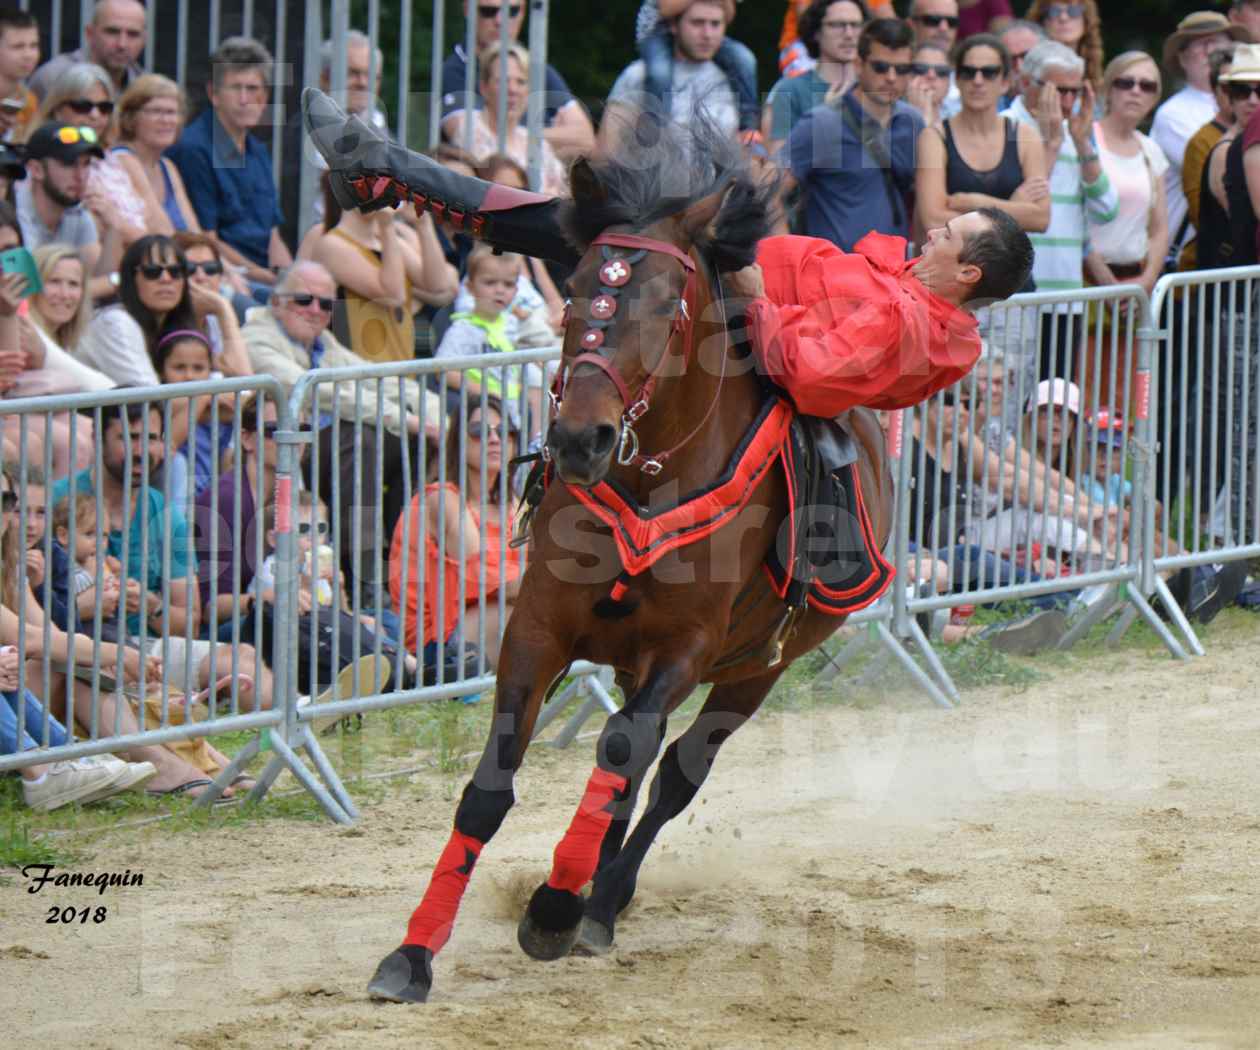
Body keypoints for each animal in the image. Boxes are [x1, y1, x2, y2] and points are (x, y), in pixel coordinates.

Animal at [365, 112, 897, 998]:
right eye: (577, 288)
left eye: (666, 305)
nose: (581, 438)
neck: (650, 479)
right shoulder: (538, 629)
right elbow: (490, 789)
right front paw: (412, 953)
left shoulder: (686, 647)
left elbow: (624, 750)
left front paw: (553, 908)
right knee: (636, 767)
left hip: (756, 671)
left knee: (673, 769)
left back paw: (600, 902)